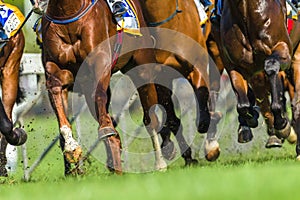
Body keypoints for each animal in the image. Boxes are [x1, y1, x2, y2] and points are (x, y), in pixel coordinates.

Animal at [40, 0, 166, 175]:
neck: (66, 13)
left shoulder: (100, 61)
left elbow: (100, 96)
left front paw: (106, 130)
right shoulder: (56, 71)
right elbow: (59, 107)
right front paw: (71, 146)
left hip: (142, 68)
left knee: (150, 119)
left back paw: (159, 163)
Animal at [139, 0, 219, 165]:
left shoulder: (197, 64)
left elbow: (202, 110)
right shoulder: (161, 76)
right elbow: (171, 117)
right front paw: (184, 154)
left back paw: (212, 144)